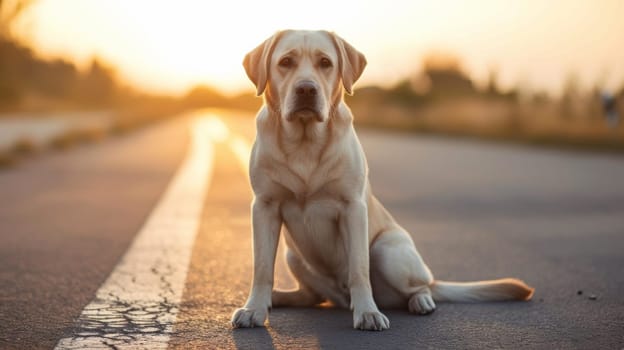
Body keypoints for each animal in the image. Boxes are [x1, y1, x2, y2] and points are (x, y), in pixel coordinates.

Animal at [232, 30, 532, 330]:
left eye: (325, 63)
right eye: (286, 62)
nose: (306, 89)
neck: (304, 142)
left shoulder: (353, 208)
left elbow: (359, 269)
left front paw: (367, 312)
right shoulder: (264, 206)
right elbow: (262, 268)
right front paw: (254, 309)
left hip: (388, 250)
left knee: (420, 287)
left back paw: (420, 302)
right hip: (293, 255)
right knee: (311, 296)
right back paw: (278, 296)